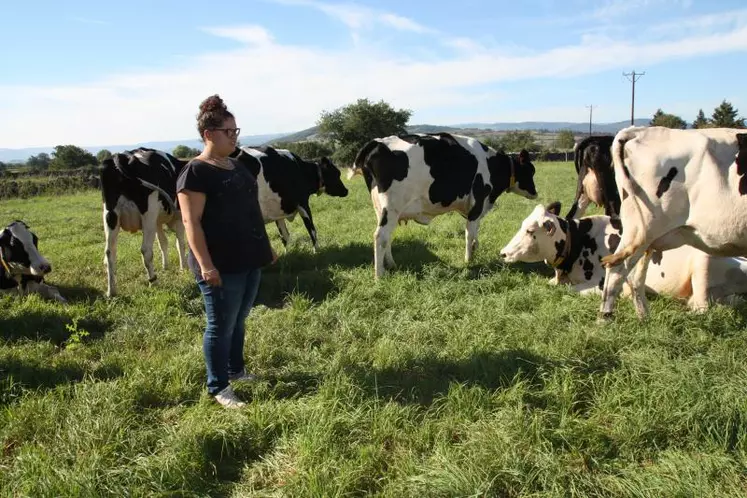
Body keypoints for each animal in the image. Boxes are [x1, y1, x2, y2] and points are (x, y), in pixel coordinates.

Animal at [100, 146, 188, 298]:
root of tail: (125, 156)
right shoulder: (178, 218)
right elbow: (180, 243)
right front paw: (183, 268)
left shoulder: (157, 222)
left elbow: (163, 243)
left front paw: (166, 266)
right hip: (148, 213)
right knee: (146, 250)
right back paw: (153, 281)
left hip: (110, 215)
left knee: (110, 252)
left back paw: (111, 291)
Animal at [354, 132, 540, 278]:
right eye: (530, 170)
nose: (535, 192)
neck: (491, 164)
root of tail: (378, 142)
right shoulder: (477, 203)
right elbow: (469, 234)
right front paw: (469, 260)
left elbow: (475, 233)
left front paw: (475, 250)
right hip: (392, 208)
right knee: (380, 236)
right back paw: (379, 275)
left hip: (381, 209)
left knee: (386, 238)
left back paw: (391, 264)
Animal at [500, 202, 747, 312]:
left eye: (530, 231)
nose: (503, 252)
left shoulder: (600, 282)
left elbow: (572, 290)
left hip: (705, 256)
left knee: (701, 306)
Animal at [600, 124, 747, 320]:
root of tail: (639, 130)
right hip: (641, 229)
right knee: (616, 269)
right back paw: (605, 318)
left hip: (646, 239)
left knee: (634, 275)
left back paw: (644, 317)